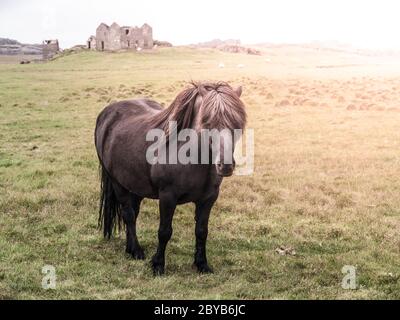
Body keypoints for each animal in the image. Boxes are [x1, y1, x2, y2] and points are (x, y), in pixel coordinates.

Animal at [95, 82, 245, 276]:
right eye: (207, 122)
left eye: (238, 123)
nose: (225, 166)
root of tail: (106, 113)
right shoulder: (168, 197)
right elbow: (164, 231)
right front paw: (158, 265)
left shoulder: (208, 199)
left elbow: (201, 231)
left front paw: (202, 264)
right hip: (118, 183)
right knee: (128, 215)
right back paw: (136, 250)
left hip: (135, 186)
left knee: (133, 214)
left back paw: (130, 249)